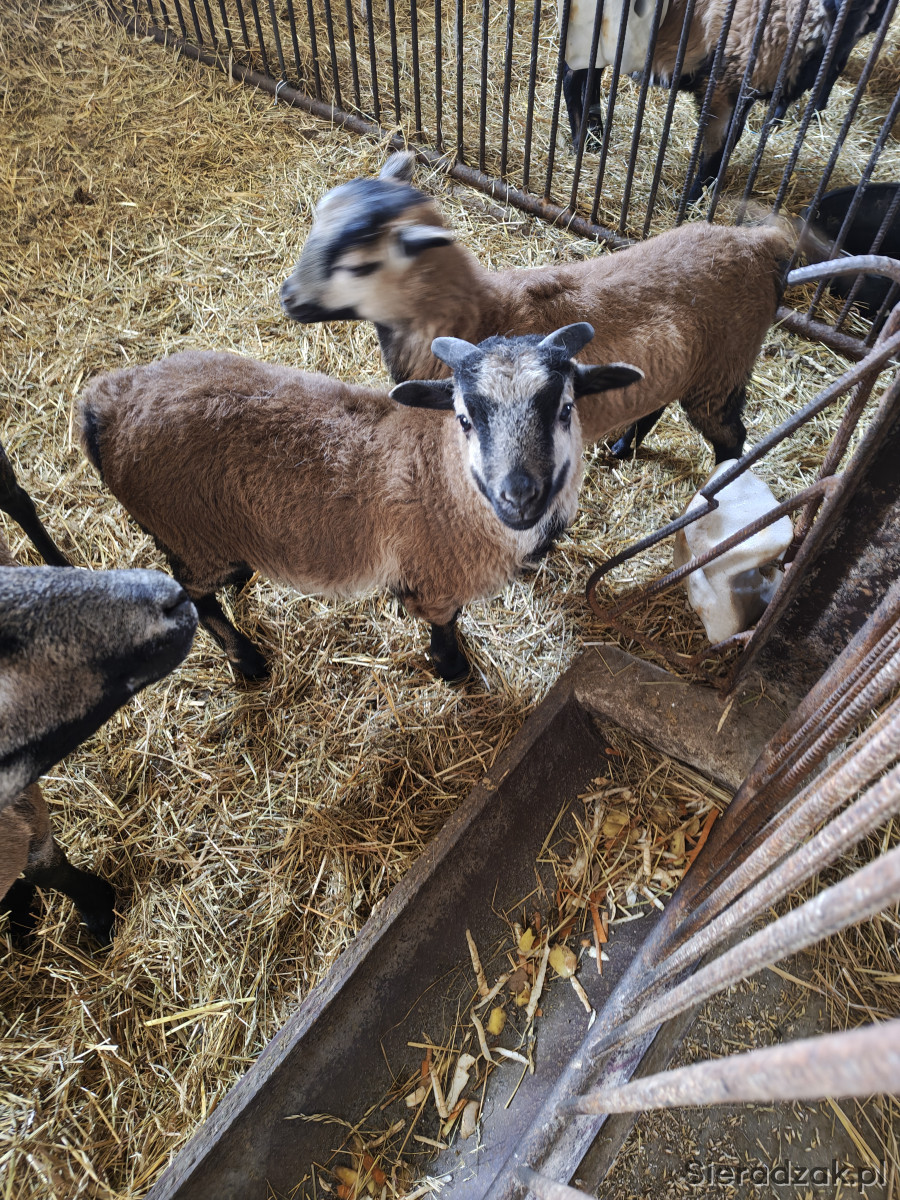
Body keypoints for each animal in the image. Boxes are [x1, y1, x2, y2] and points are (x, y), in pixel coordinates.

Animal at [78, 326, 642, 683]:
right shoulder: (436, 576)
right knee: (194, 595)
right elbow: (445, 624)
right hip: (192, 534)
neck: (440, 474)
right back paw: (248, 661)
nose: (519, 495)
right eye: (464, 418)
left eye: (565, 408)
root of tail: (105, 403)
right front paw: (454, 670)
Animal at [279, 152, 794, 463]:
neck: (480, 314)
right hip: (687, 365)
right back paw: (621, 448)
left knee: (731, 438)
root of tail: (762, 244)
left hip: (724, 369)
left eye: (359, 266)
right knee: (655, 404)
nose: (288, 296)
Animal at [561, 0, 892, 199]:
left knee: (587, 75)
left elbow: (731, 142)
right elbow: (716, 147)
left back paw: (594, 135)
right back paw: (583, 142)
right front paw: (693, 201)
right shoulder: (725, 83)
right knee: (572, 76)